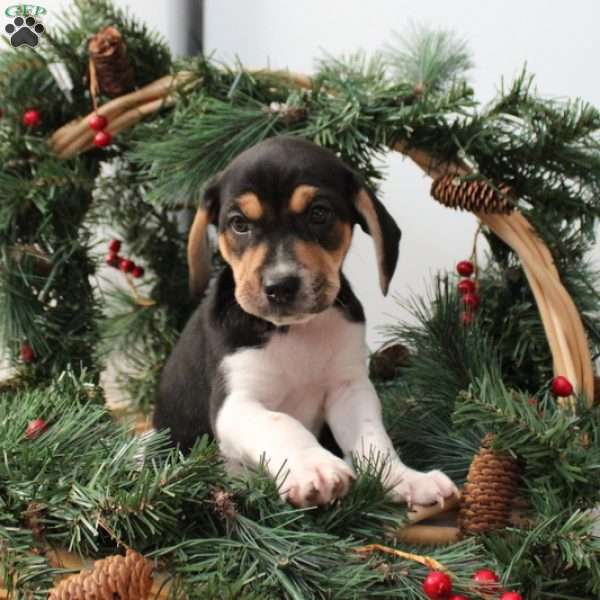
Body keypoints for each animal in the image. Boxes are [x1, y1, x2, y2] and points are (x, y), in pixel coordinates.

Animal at [152, 136, 458, 506]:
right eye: (239, 224)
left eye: (318, 213)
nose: (281, 286)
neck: (295, 331)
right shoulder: (235, 403)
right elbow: (280, 422)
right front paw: (315, 467)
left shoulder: (349, 388)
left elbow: (373, 440)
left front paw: (404, 479)